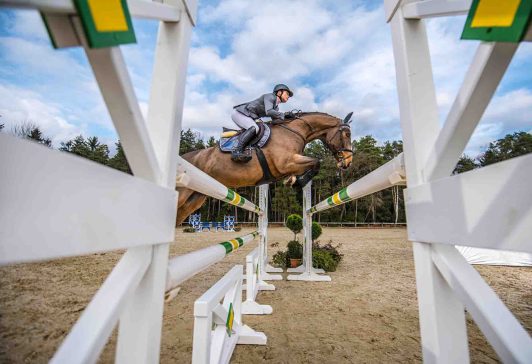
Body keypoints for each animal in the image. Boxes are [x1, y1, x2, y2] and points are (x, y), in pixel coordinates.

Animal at [177, 111, 356, 225]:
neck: (294, 131)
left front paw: (292, 180)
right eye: (347, 134)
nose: (347, 162)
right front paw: (299, 181)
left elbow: (311, 164)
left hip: (195, 199)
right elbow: (317, 161)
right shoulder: (285, 163)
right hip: (183, 193)